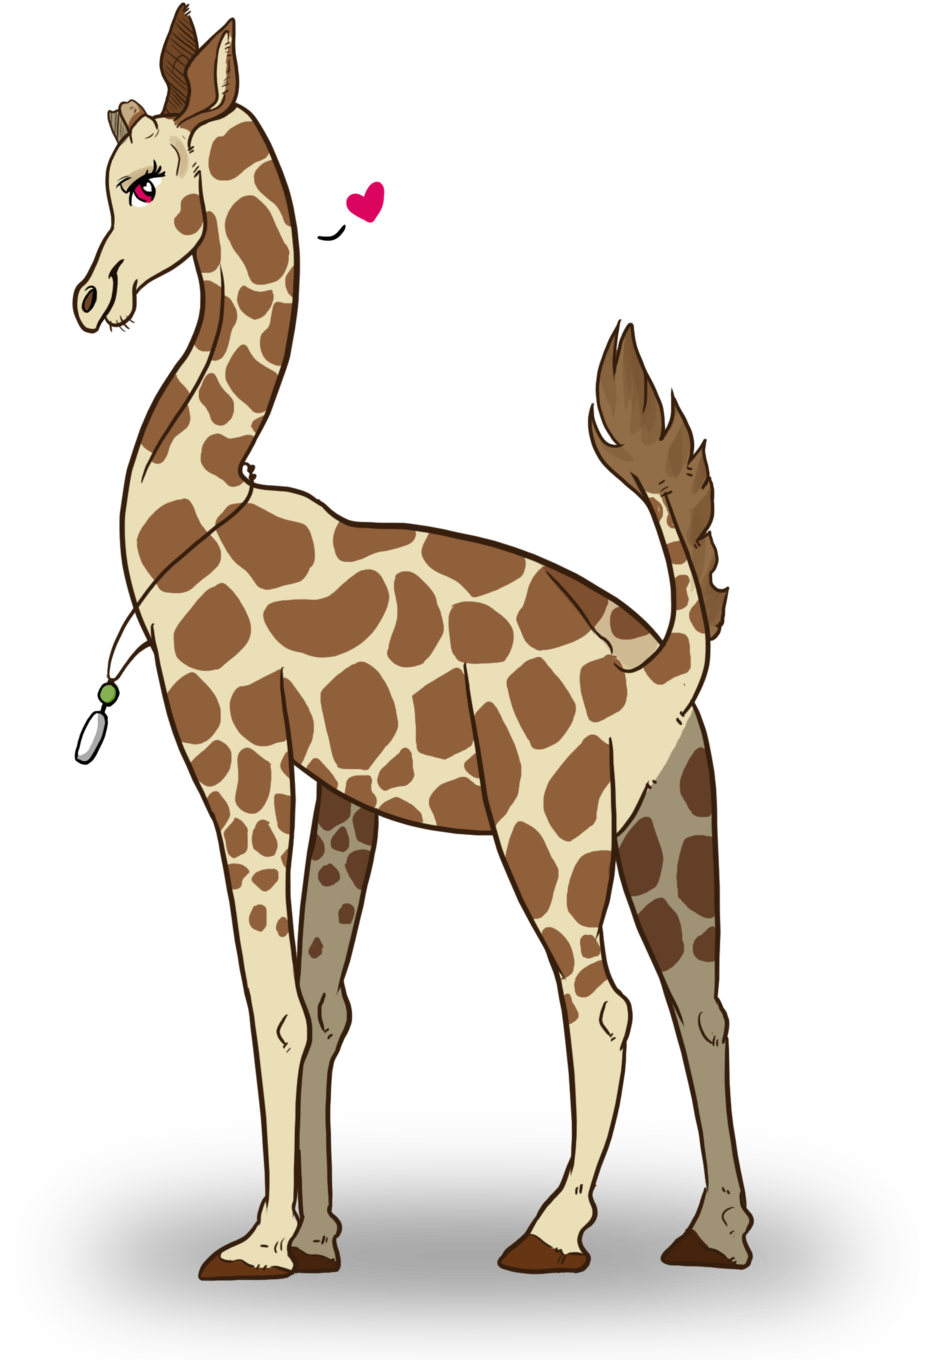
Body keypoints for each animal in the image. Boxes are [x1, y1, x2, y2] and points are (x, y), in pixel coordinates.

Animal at [73, 5, 754, 1281]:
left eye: (144, 182)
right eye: (106, 178)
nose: (91, 298)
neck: (200, 506)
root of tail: (660, 666)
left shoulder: (238, 752)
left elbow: (270, 1002)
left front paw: (257, 1242)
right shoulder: (350, 795)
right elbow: (324, 1002)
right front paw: (318, 1237)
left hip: (548, 825)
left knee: (601, 1006)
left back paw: (551, 1230)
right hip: (669, 825)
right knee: (702, 1001)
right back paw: (717, 1235)